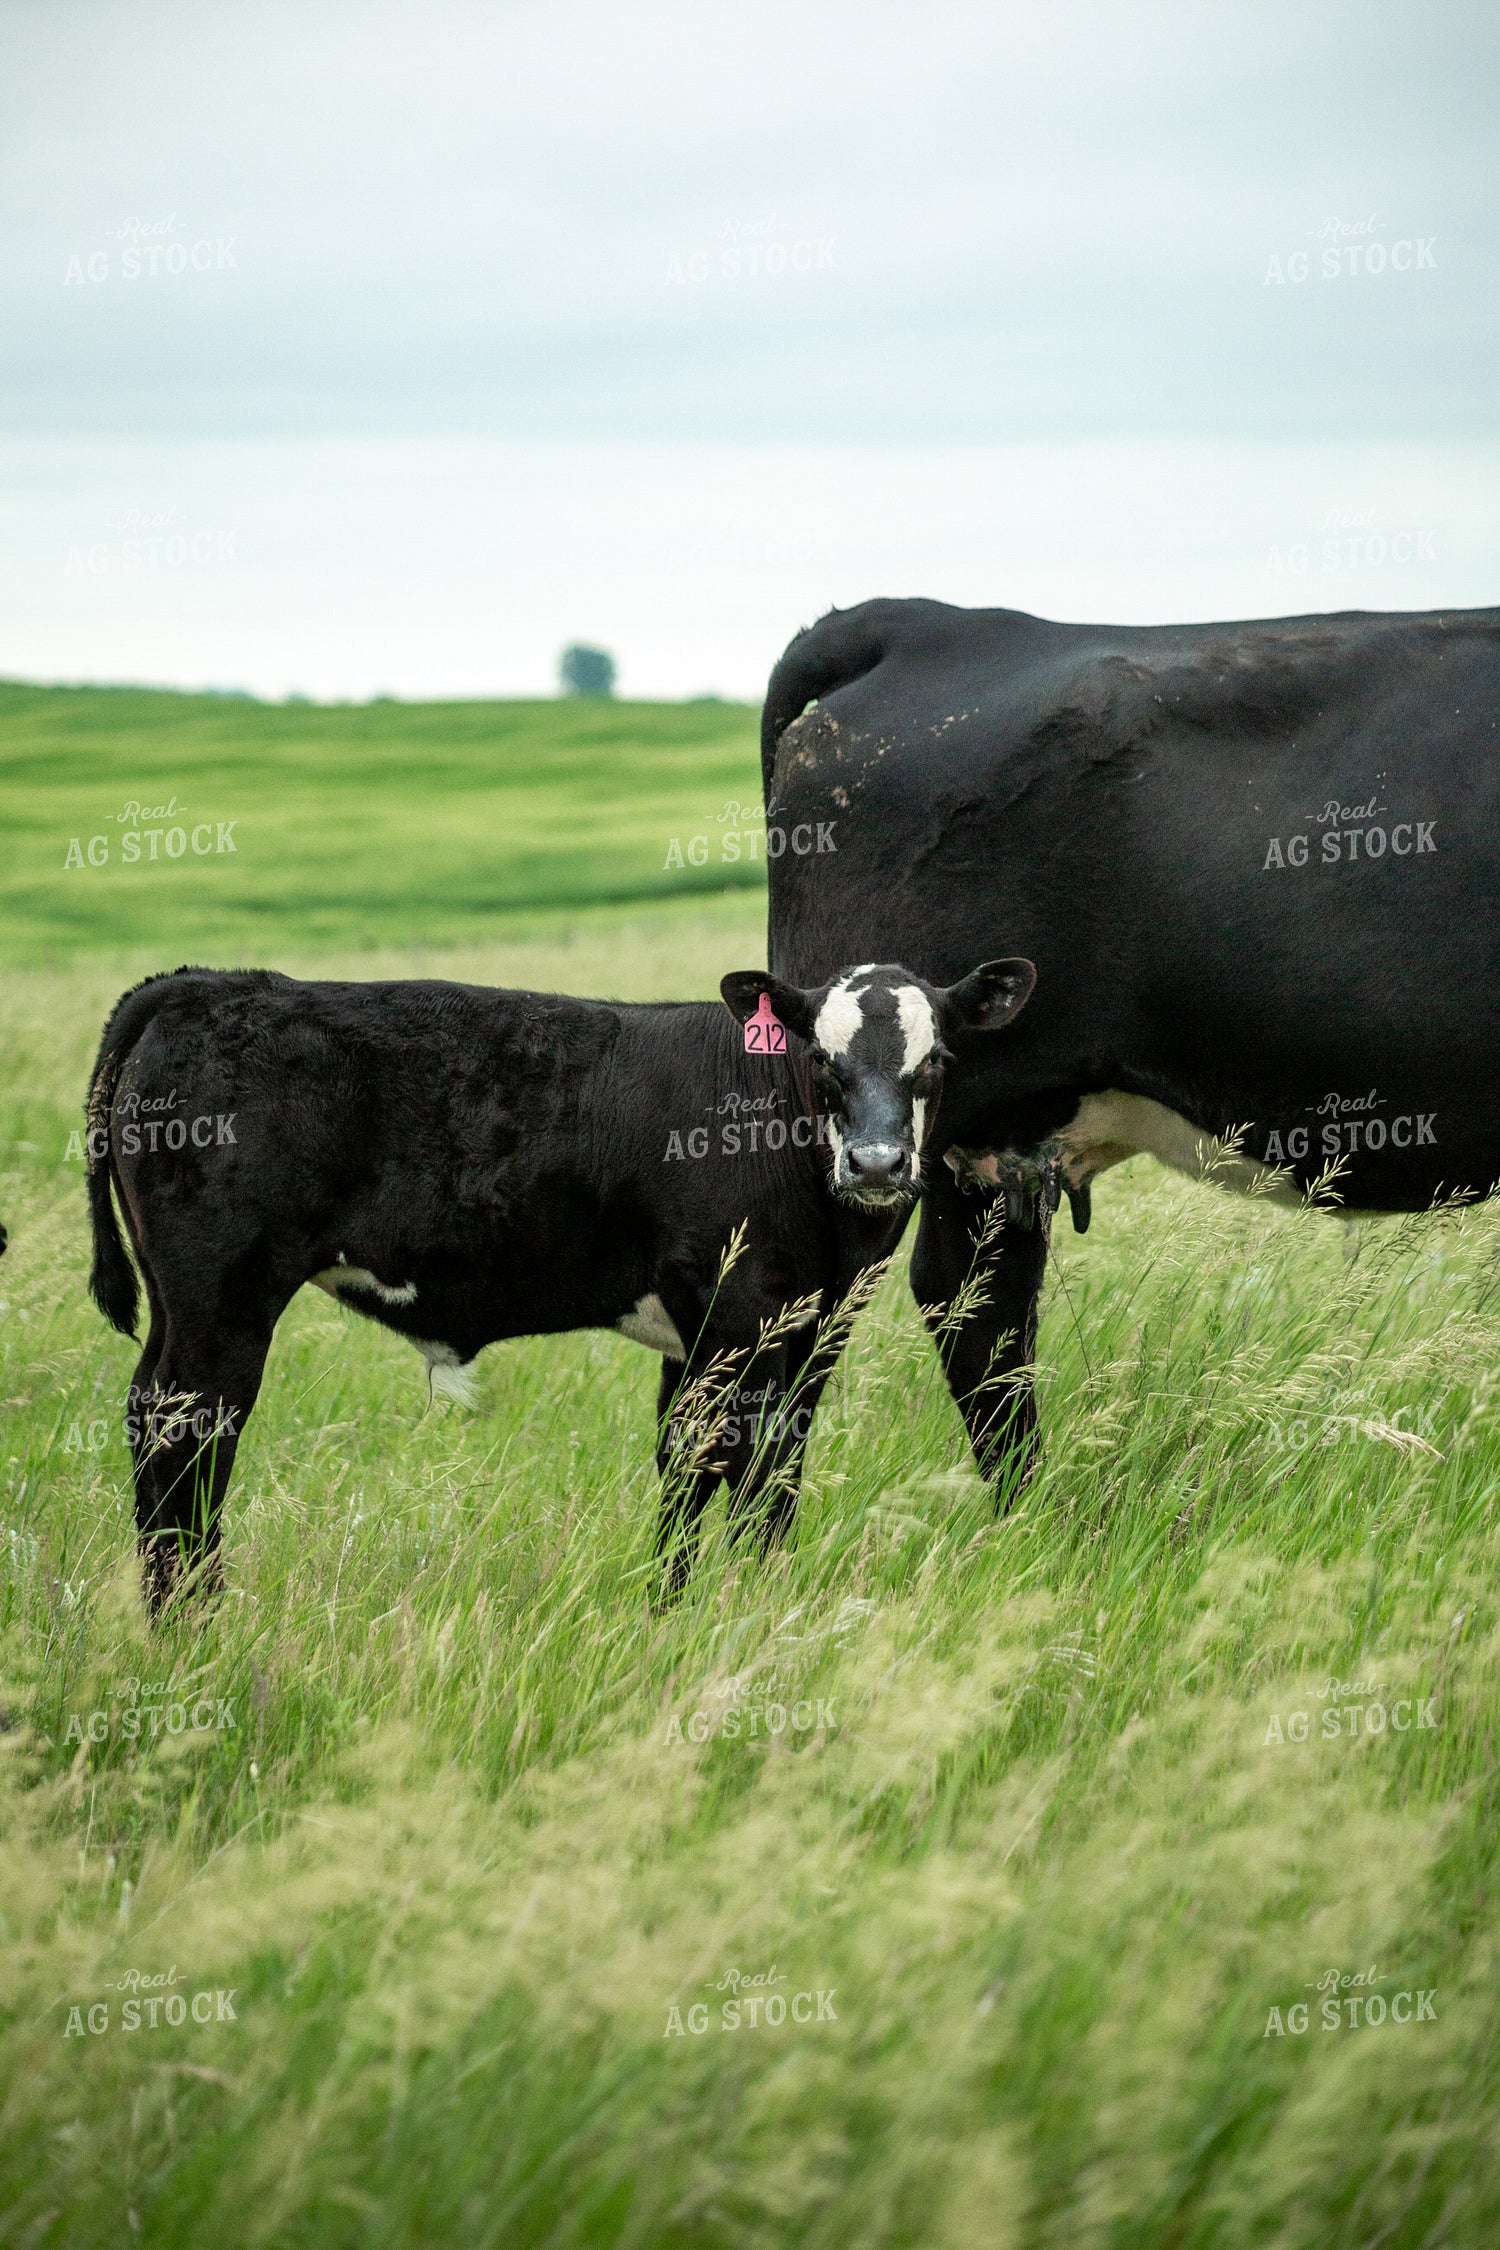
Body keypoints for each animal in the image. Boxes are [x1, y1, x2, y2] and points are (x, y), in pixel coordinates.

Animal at [84, 954, 1032, 1613]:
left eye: (935, 1059)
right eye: (825, 1060)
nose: (876, 1163)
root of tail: (198, 985)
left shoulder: (797, 1329)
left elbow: (714, 1464)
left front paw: (680, 1605)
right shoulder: (739, 1314)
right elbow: (739, 1464)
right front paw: (737, 1608)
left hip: (180, 1303)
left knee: (152, 1414)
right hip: (224, 1299)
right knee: (190, 1430)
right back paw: (192, 1618)